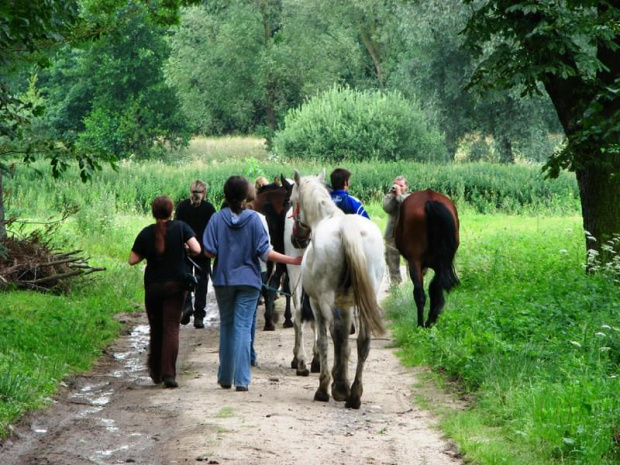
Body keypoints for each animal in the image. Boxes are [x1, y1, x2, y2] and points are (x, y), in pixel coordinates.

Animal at [290, 169, 382, 406]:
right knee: (363, 341)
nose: (296, 238)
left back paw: (336, 389)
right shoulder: (347, 304)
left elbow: (325, 340)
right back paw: (355, 394)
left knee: (333, 334)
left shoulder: (316, 303)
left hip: (325, 300)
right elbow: (346, 342)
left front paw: (328, 385)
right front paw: (343, 381)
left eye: (291, 201)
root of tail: (347, 228)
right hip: (365, 300)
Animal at [394, 188, 458, 326]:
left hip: (415, 262)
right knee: (436, 287)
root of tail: (429, 199)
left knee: (419, 294)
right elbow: (435, 288)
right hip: (442, 262)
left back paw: (420, 324)